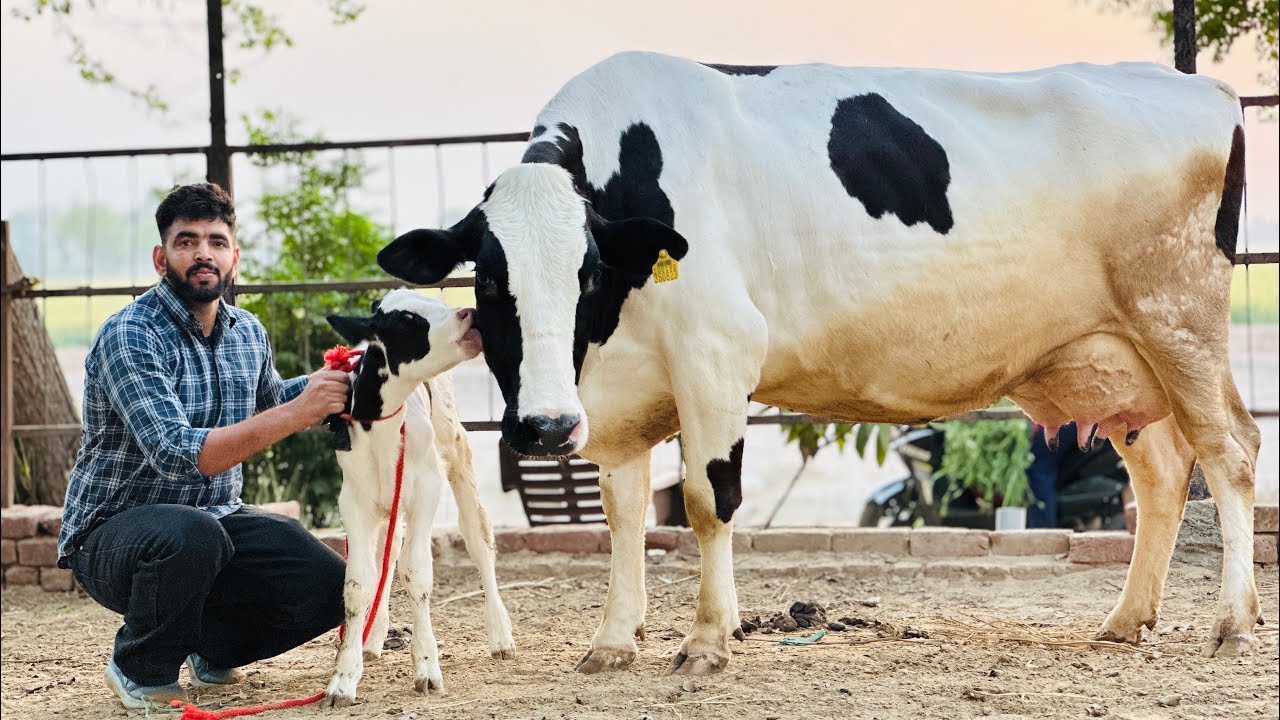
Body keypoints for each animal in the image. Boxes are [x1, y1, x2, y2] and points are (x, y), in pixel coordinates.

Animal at [377, 52, 1260, 675]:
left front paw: (707, 640)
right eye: (491, 279)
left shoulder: (716, 352)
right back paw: (1126, 619)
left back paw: (1232, 623)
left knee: (1231, 453)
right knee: (1162, 472)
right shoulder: (618, 394)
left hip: (1179, 318)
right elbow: (626, 514)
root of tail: (1199, 87)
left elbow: (707, 502)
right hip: (1112, 358)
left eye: (587, 271)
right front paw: (614, 640)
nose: (546, 425)